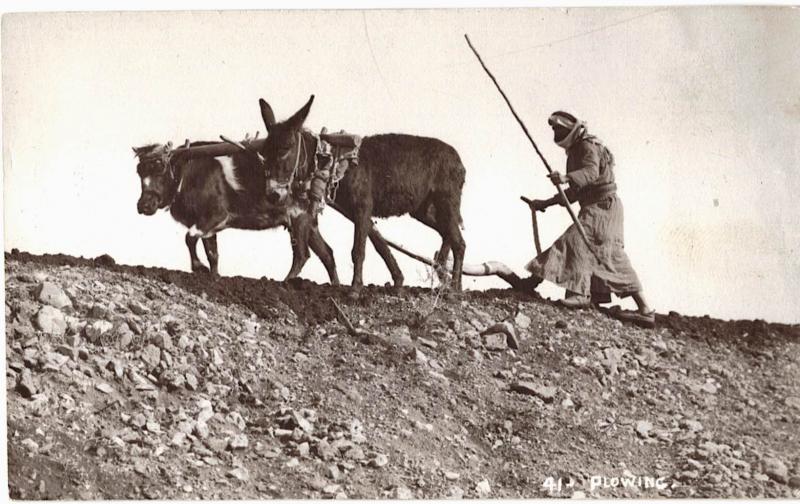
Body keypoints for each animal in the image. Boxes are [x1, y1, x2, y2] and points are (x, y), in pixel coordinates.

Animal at [134, 142, 340, 284]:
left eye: (160, 167)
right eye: (139, 171)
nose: (144, 205)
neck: (188, 174)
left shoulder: (216, 215)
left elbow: (189, 238)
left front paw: (199, 268)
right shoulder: (206, 224)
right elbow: (212, 253)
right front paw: (214, 276)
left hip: (299, 218)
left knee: (302, 254)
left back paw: (285, 283)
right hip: (308, 223)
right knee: (327, 253)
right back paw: (336, 287)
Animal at [256, 95, 468, 292]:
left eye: (285, 149)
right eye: (264, 153)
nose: (272, 194)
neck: (334, 159)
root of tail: (458, 160)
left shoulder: (363, 206)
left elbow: (358, 250)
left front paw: (355, 290)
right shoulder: (355, 210)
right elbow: (379, 244)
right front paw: (398, 282)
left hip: (446, 199)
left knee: (459, 242)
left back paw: (455, 290)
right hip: (424, 209)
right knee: (448, 232)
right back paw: (443, 275)